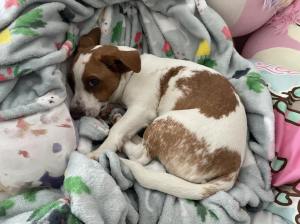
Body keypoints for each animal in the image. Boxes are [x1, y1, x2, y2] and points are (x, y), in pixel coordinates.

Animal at [71, 43, 247, 200]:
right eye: (72, 83)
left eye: (93, 81)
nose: (73, 113)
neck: (131, 75)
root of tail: (232, 171)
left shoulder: (141, 109)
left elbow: (116, 133)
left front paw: (99, 152)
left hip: (163, 122)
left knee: (140, 156)